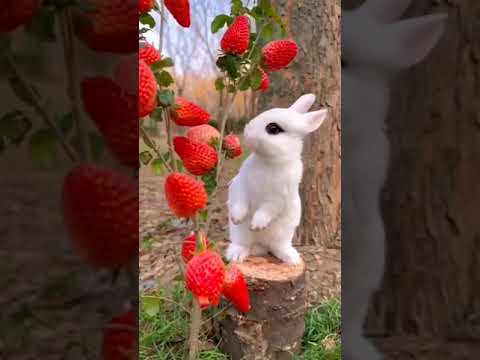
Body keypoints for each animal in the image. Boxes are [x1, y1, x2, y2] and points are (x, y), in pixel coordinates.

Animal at [227, 95, 328, 264]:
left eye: (273, 128)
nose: (247, 131)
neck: (269, 162)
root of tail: (260, 246)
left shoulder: (279, 197)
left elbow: (267, 210)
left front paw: (256, 225)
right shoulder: (241, 184)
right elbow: (240, 201)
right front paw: (237, 218)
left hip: (284, 234)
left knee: (277, 247)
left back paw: (292, 259)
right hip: (240, 234)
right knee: (243, 244)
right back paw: (235, 255)